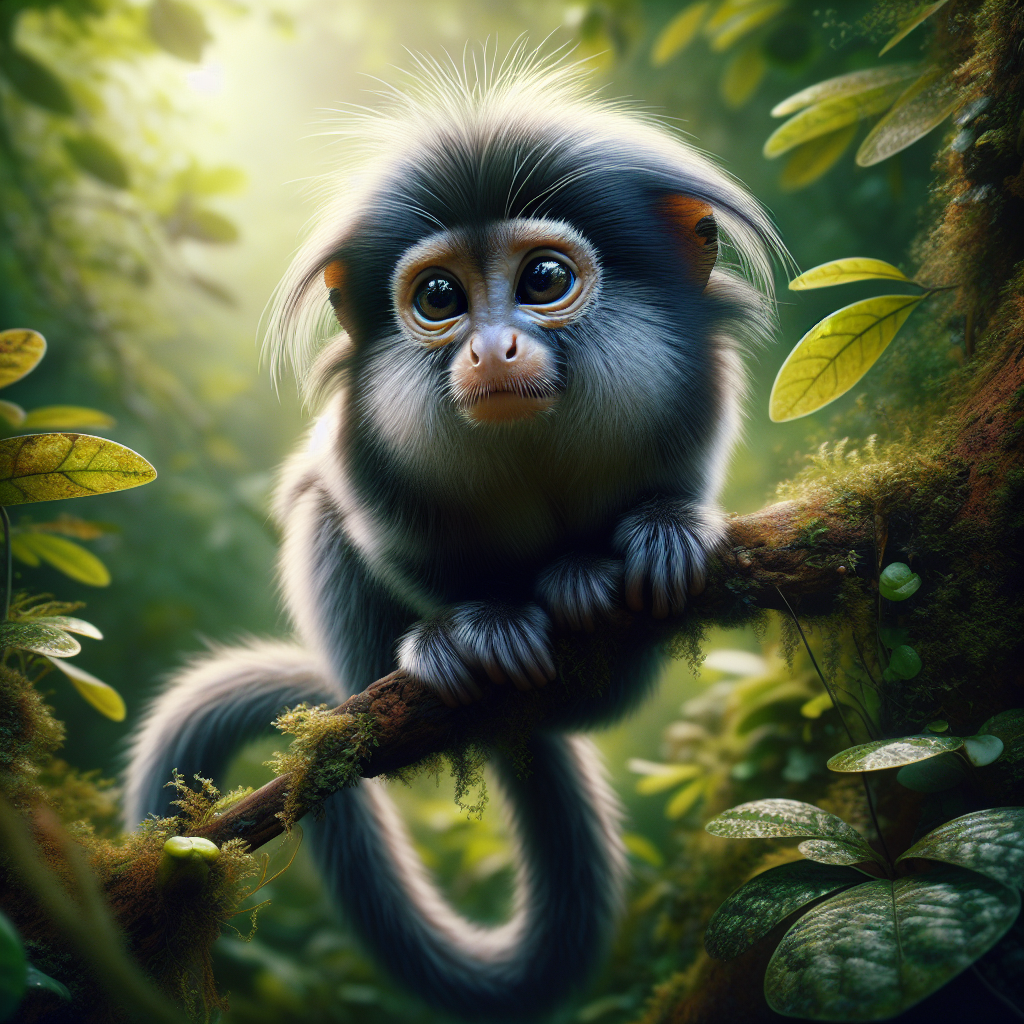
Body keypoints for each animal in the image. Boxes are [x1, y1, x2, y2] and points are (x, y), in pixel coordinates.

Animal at [123, 52, 782, 1021]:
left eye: (543, 281)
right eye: (440, 298)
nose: (491, 349)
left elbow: (680, 488)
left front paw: (661, 534)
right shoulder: (363, 456)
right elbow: (355, 513)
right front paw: (478, 624)